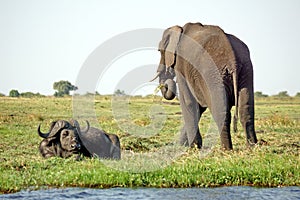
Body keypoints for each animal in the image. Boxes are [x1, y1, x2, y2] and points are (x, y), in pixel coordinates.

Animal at [151, 22, 258, 150]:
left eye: (159, 50)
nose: (166, 84)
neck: (179, 30)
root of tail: (233, 61)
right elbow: (200, 106)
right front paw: (184, 145)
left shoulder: (182, 65)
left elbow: (188, 101)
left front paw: (193, 147)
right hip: (246, 70)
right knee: (245, 110)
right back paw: (253, 147)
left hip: (213, 73)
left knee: (221, 112)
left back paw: (226, 150)